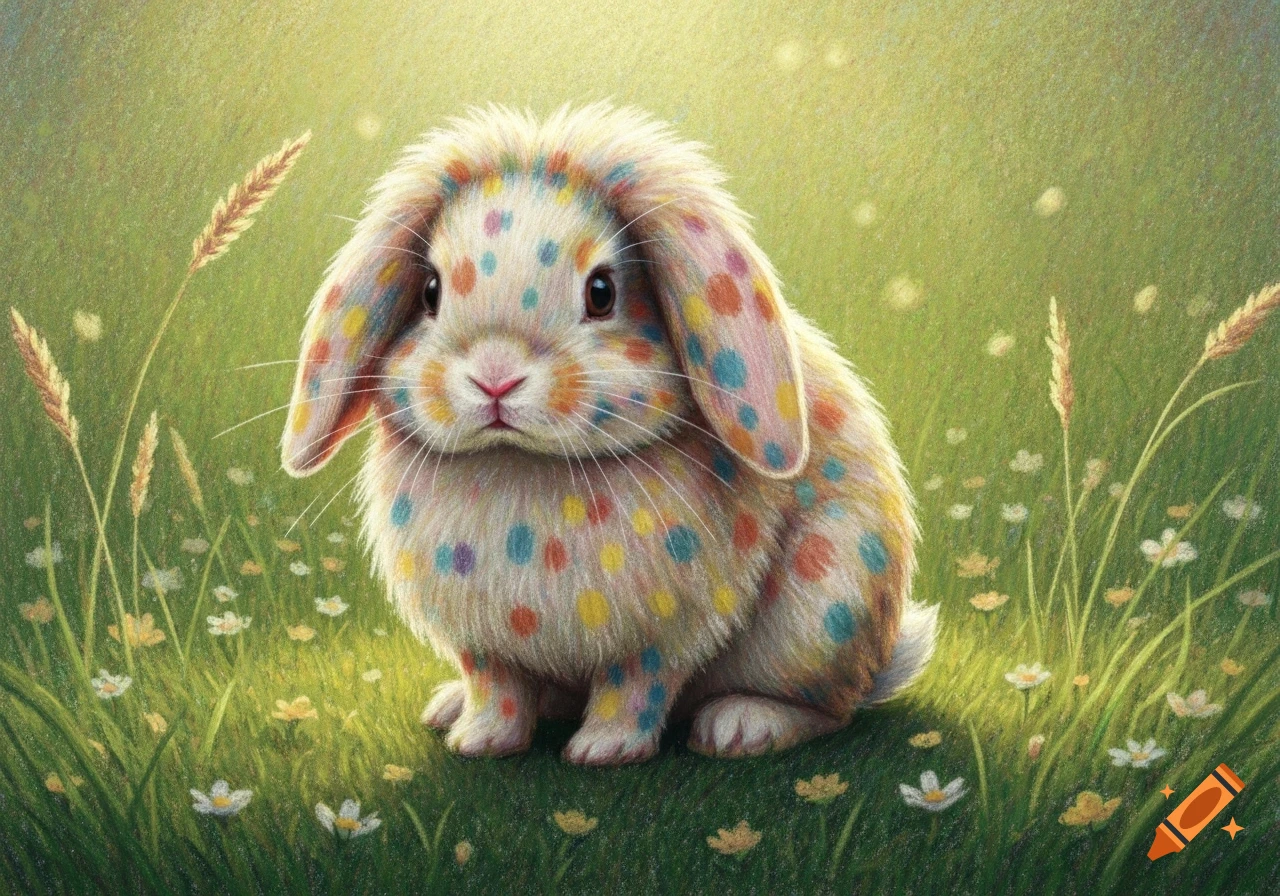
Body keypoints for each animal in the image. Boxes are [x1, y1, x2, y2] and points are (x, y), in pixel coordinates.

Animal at [280, 103, 938, 765]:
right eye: (430, 291)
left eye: (602, 292)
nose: (495, 377)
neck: (523, 466)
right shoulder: (485, 642)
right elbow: (497, 686)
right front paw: (481, 741)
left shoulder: (666, 631)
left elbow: (635, 688)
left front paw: (604, 751)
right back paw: (449, 708)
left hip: (820, 615)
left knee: (830, 709)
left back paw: (743, 725)